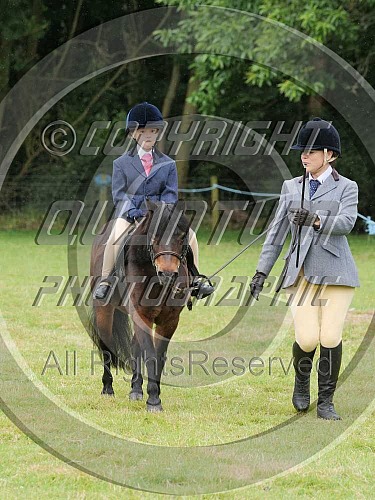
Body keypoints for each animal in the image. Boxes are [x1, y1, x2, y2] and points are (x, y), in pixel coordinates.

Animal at [88, 201, 191, 412]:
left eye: (181, 236)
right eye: (154, 236)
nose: (168, 274)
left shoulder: (170, 321)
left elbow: (158, 355)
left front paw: (152, 394)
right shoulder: (142, 315)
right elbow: (150, 354)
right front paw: (154, 401)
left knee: (135, 345)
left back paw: (135, 389)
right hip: (104, 310)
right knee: (105, 345)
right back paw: (107, 388)